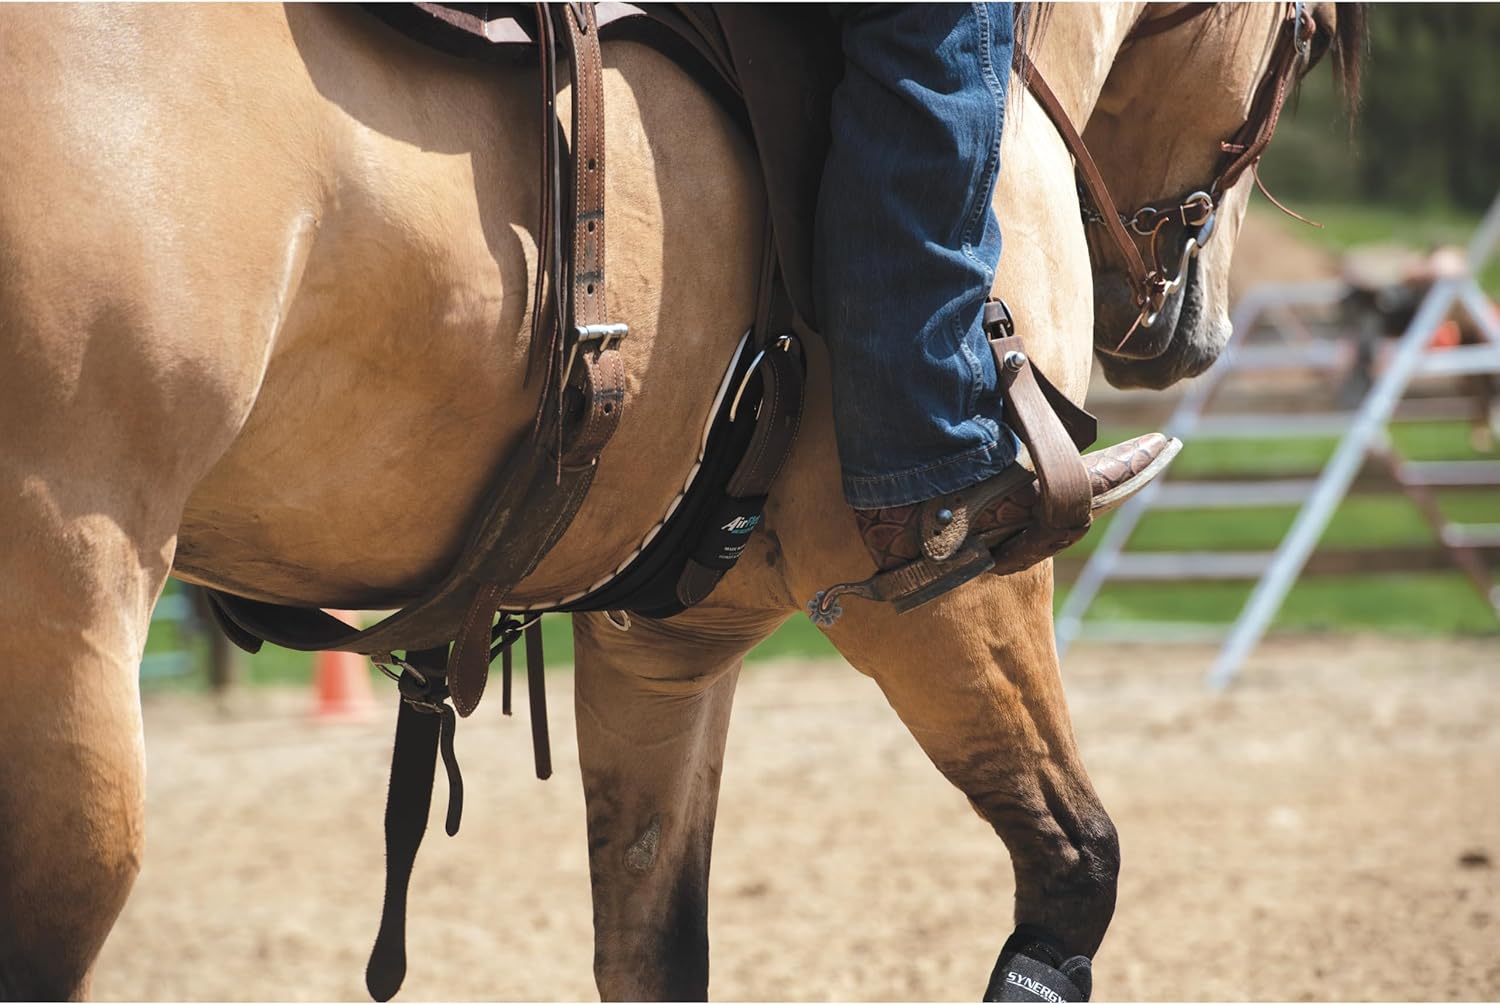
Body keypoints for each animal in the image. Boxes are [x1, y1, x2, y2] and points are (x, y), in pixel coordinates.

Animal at [0, 2, 1362, 999]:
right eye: (1301, 41)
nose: (1194, 329)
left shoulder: (662, 651)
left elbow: (654, 943)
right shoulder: (946, 598)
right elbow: (1076, 865)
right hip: (69, 624)